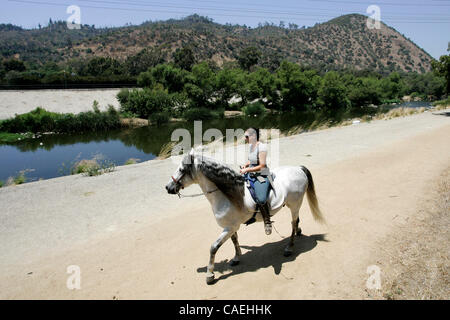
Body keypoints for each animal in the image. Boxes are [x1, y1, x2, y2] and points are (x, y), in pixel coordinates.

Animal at [165, 149, 324, 284]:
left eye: (181, 169)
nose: (168, 187)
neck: (227, 194)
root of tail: (298, 168)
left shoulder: (230, 227)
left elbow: (214, 247)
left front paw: (210, 274)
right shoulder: (231, 226)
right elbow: (234, 240)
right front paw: (236, 257)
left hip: (295, 204)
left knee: (293, 222)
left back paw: (289, 248)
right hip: (294, 205)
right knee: (296, 221)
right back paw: (298, 232)